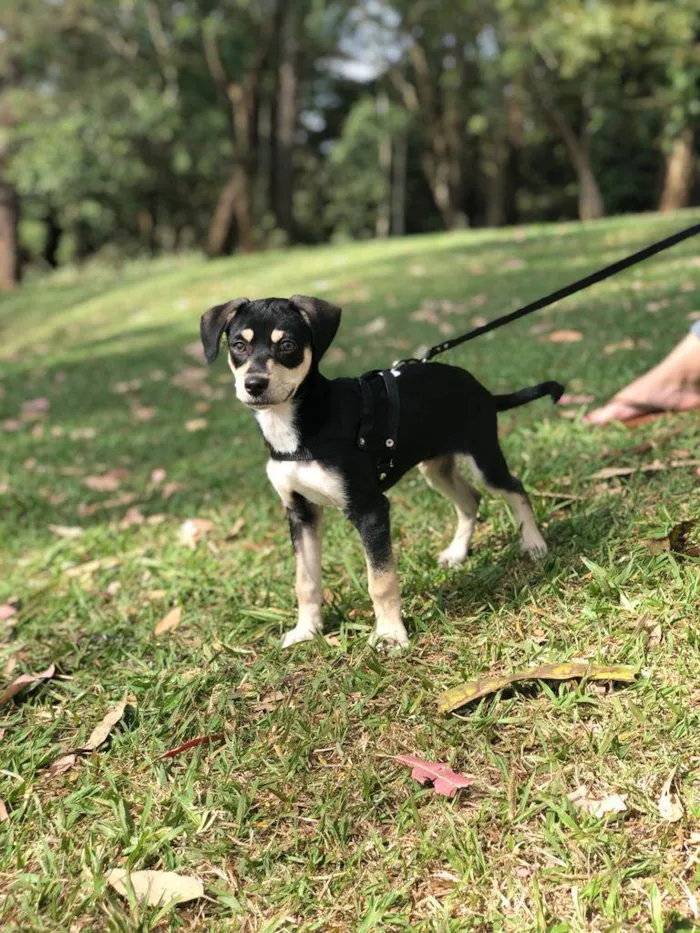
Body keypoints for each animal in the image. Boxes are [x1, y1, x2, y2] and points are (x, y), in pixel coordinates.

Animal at [198, 296, 564, 648]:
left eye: (286, 345)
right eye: (238, 345)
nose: (254, 384)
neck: (300, 428)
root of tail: (482, 389)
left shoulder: (370, 509)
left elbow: (381, 581)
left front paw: (389, 634)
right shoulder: (300, 511)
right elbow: (305, 580)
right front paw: (307, 631)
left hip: (482, 456)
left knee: (514, 487)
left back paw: (534, 543)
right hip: (436, 468)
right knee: (470, 499)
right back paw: (458, 552)